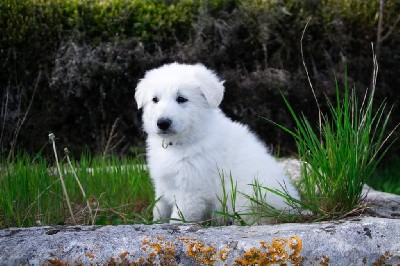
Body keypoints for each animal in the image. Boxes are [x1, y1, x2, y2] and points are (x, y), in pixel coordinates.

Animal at [135, 62, 300, 222]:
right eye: (155, 99)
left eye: (181, 99)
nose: (162, 123)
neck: (181, 143)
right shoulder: (162, 185)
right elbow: (159, 210)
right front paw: (154, 223)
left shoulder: (191, 191)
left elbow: (179, 218)